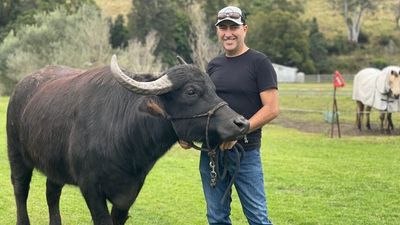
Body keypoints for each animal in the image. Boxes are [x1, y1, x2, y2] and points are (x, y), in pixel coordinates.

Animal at [6, 55, 248, 225]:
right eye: (191, 91)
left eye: (214, 90)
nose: (241, 123)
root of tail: (20, 87)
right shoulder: (91, 187)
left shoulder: (130, 191)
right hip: (16, 154)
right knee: (20, 189)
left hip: (55, 164)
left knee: (52, 192)